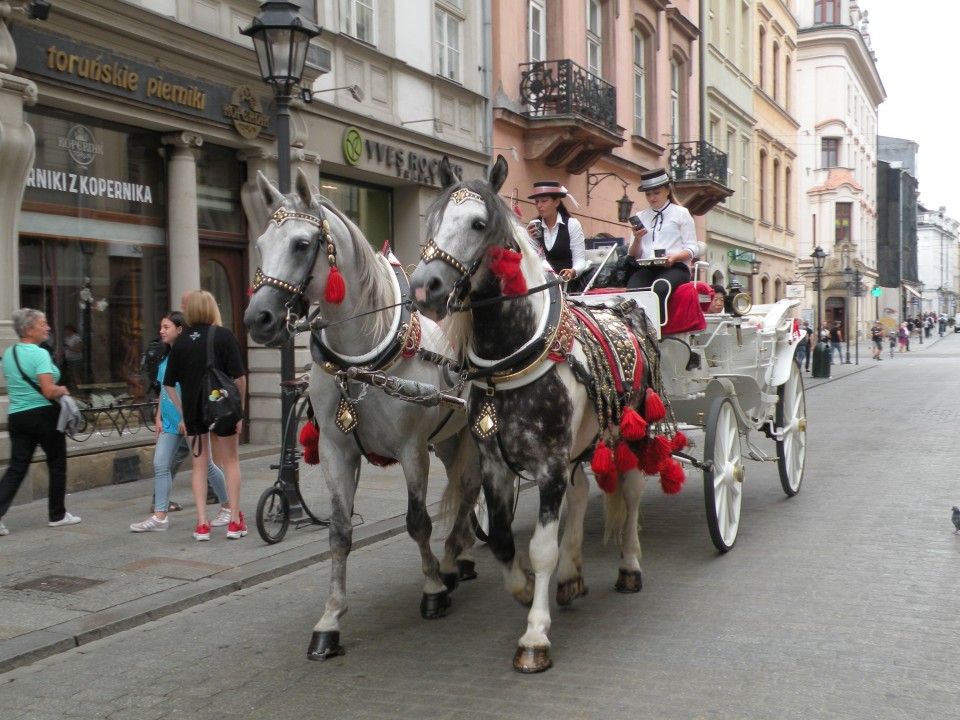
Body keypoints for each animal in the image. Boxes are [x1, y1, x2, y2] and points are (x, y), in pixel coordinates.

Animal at [242, 169, 478, 664]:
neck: (361, 359)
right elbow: (339, 533)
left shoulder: (412, 451)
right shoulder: (336, 452)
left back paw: (452, 561)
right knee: (465, 486)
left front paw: (431, 588)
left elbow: (417, 521)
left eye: (301, 244)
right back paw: (460, 556)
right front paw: (330, 620)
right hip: (449, 436)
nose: (259, 318)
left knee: (470, 486)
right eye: (260, 244)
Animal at [408, 155, 680, 672]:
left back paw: (629, 567)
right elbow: (502, 541)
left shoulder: (550, 464)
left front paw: (535, 636)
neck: (513, 357)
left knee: (631, 493)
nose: (422, 287)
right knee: (581, 494)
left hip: (631, 432)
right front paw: (527, 590)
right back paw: (572, 576)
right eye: (432, 222)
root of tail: (627, 307)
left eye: (478, 224)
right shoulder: (495, 465)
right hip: (579, 445)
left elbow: (539, 547)